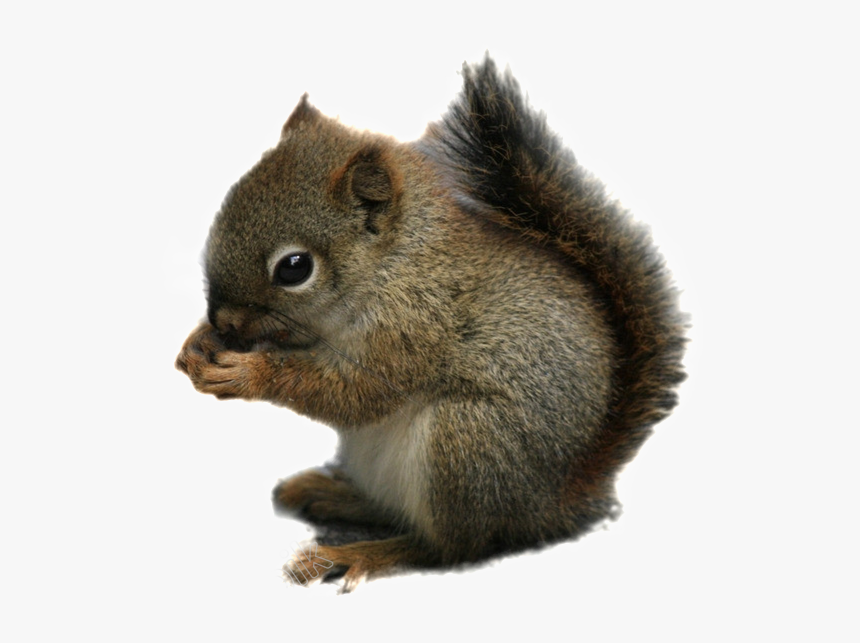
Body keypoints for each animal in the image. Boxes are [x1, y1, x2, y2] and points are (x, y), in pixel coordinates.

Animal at [175, 55, 686, 591]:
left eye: (294, 268)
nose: (224, 320)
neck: (395, 264)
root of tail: (549, 507)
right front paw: (198, 342)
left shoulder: (414, 327)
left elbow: (355, 393)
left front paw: (247, 373)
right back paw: (335, 496)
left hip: (466, 442)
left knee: (447, 547)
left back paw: (356, 553)